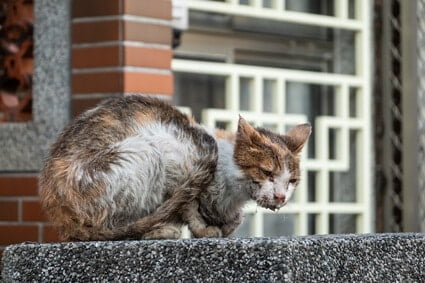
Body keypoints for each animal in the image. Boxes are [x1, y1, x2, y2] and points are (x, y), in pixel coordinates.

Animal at [39, 94, 312, 241]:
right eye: (267, 172)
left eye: (292, 181)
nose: (281, 196)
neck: (233, 190)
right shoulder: (176, 154)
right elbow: (188, 203)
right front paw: (202, 227)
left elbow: (235, 218)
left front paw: (224, 223)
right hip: (144, 150)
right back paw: (156, 229)